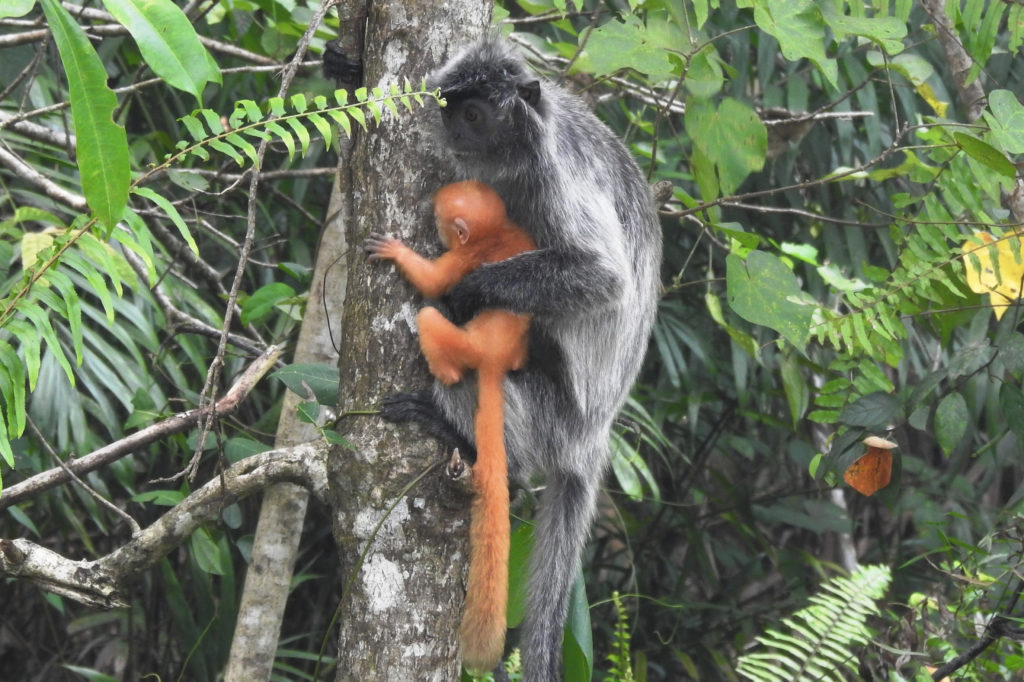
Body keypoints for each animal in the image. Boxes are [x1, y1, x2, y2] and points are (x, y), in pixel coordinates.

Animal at [362, 178, 532, 671]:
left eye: (439, 219)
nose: (430, 215)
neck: (495, 233)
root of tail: (494, 361)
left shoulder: (463, 257)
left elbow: (437, 280)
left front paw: (396, 252)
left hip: (461, 344)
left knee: (430, 315)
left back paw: (442, 381)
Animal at [382, 38, 663, 679]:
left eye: (476, 114)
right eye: (452, 111)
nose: (456, 134)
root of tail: (593, 439)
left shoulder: (555, 177)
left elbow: (602, 277)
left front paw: (470, 292)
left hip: (551, 409)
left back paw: (463, 439)